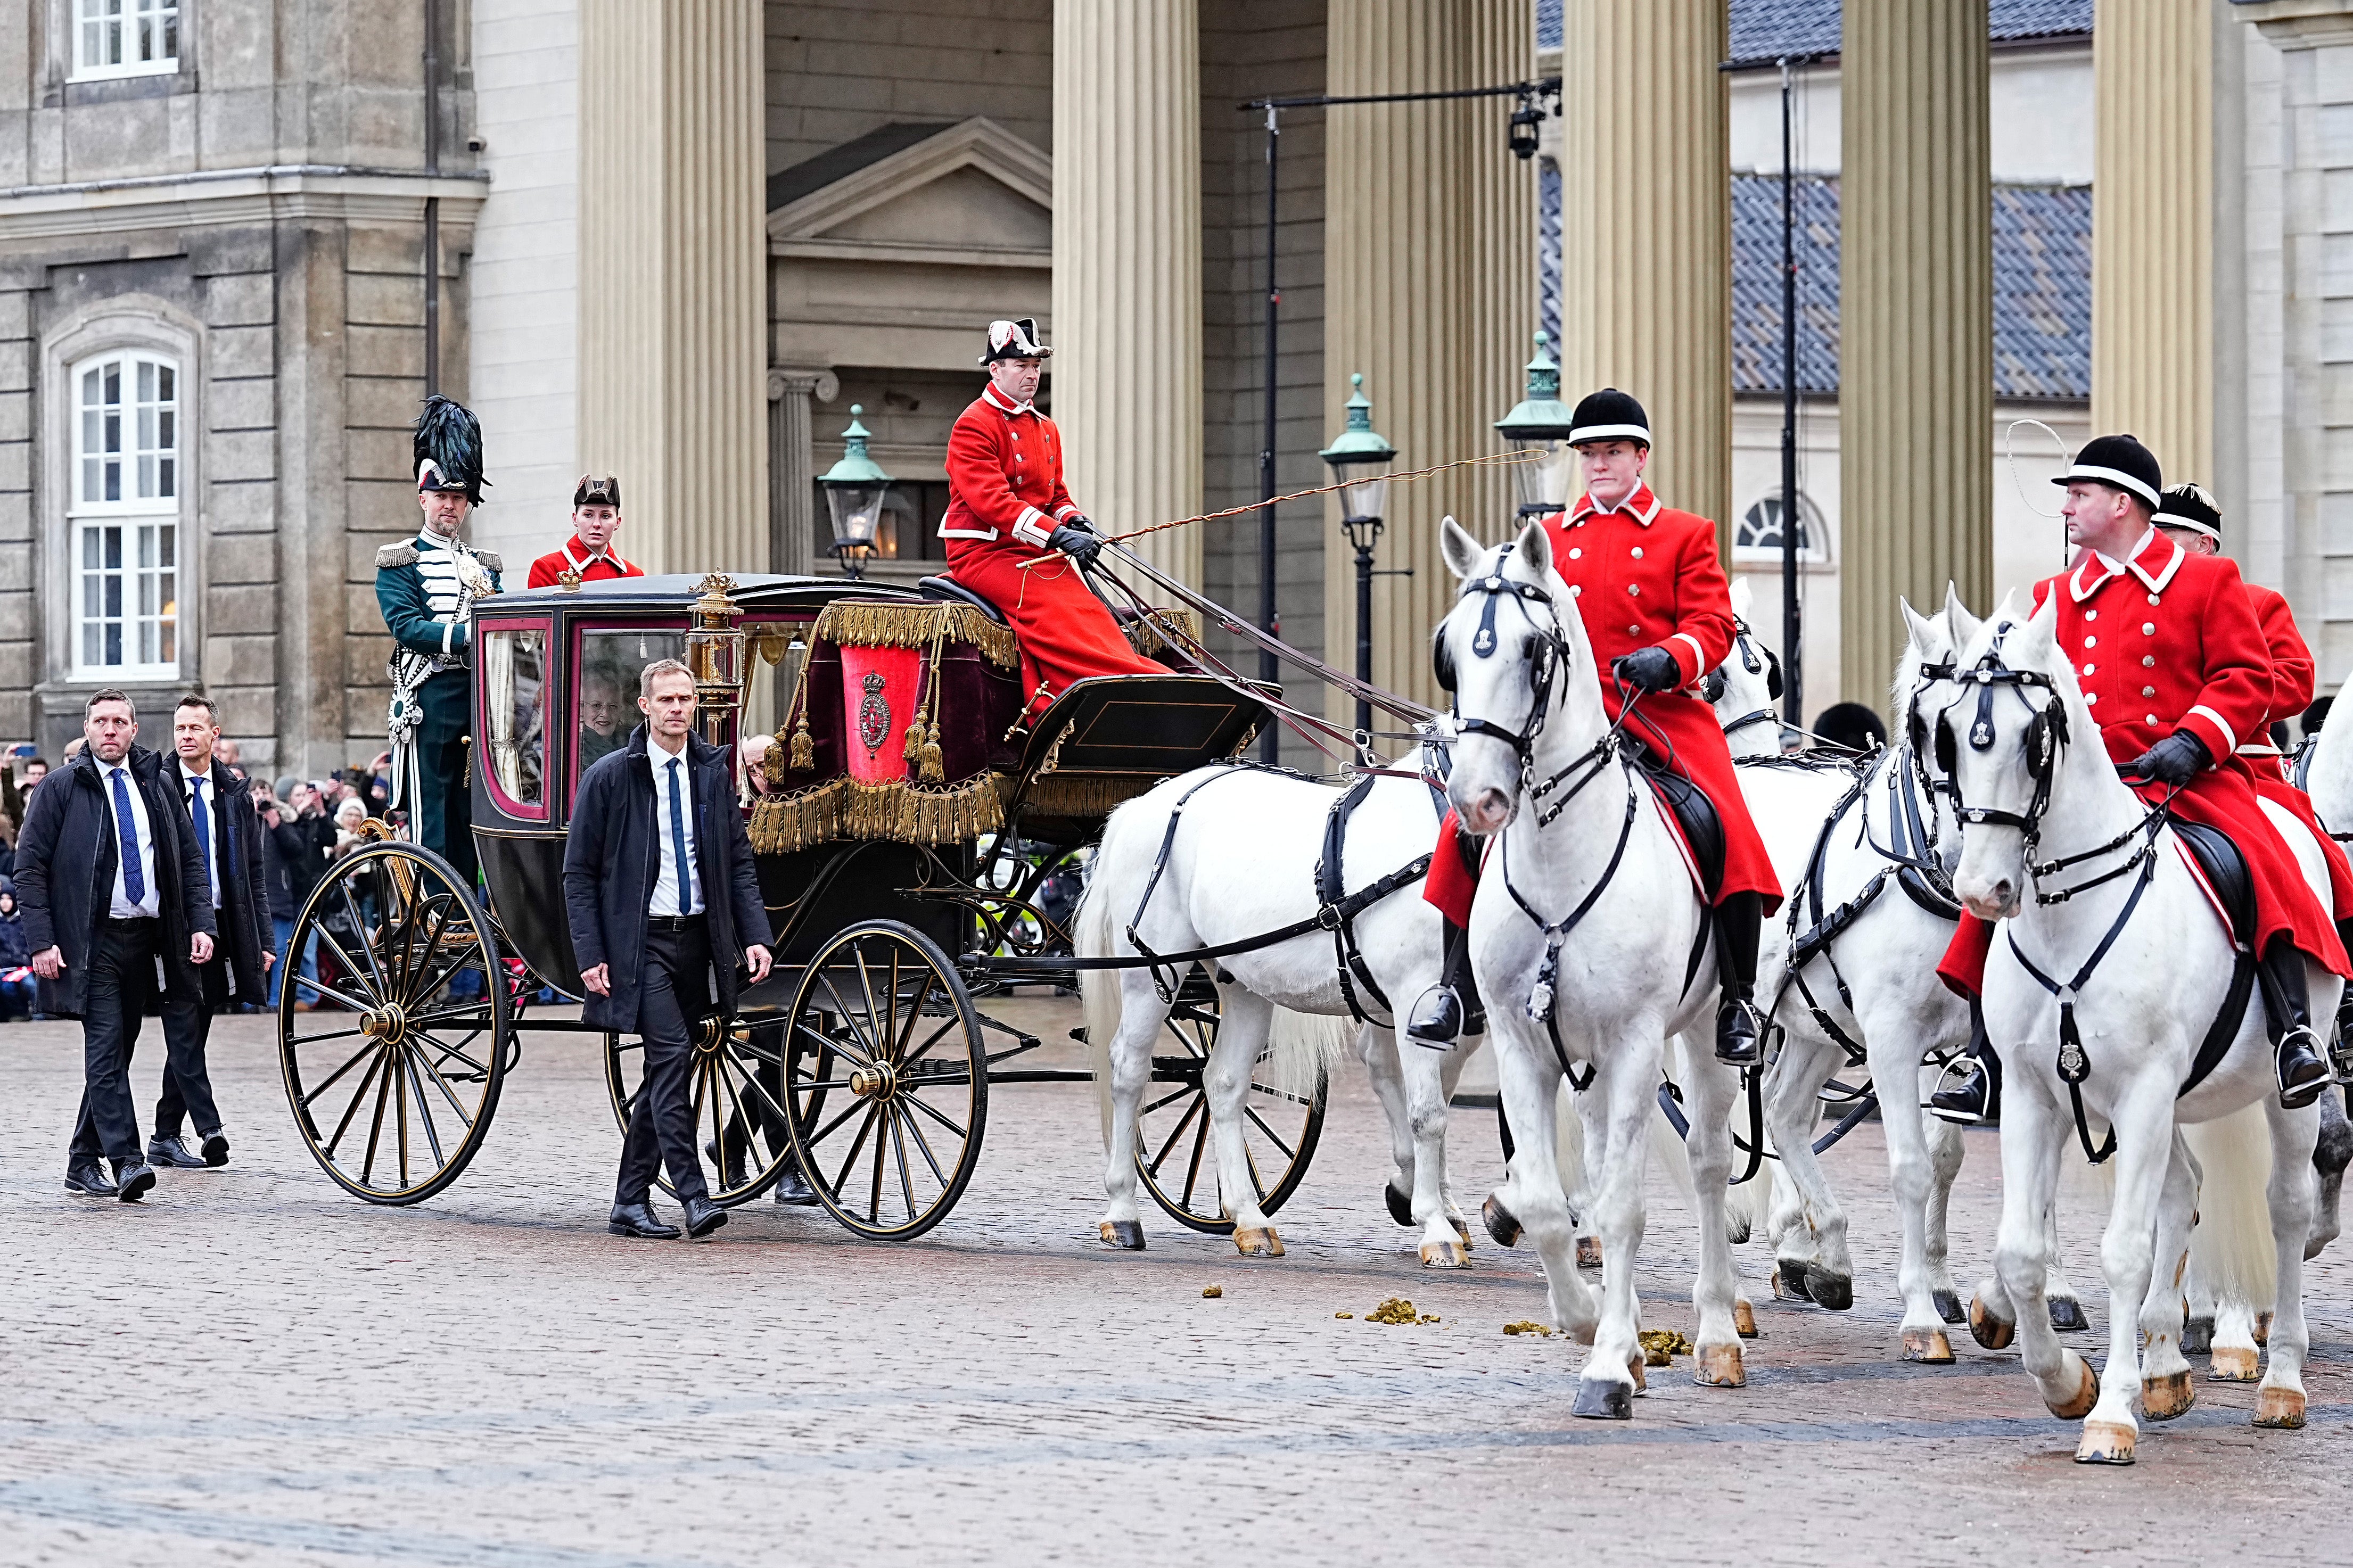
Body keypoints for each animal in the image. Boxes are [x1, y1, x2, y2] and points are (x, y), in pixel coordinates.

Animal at [1077, 742, 1477, 1269]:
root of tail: (1140, 804)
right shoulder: (1415, 994)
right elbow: (1427, 1114)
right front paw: (1435, 1225)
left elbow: (1435, 1106)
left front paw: (1431, 1202)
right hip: (1151, 974)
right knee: (1129, 1071)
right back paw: (1123, 1211)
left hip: (1240, 982)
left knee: (1222, 1083)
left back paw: (1250, 1218)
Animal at [1430, 512, 1750, 1410]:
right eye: (1450, 651)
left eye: (1532, 651)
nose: (1478, 801)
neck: (1560, 856)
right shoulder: (1521, 1041)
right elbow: (1549, 1200)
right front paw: (1587, 1324)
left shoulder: (1638, 1039)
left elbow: (1625, 1205)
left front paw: (1607, 1363)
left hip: (1703, 1034)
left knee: (1708, 1164)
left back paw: (1716, 1333)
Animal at [1929, 595, 2334, 1467]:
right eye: (1946, 737)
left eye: (2033, 739)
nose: (1983, 889)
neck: (2070, 914)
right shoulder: (2036, 1094)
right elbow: (2022, 1251)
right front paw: (2066, 1382)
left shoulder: (2144, 1091)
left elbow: (2123, 1249)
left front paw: (2108, 1413)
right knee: (2183, 1191)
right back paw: (2163, 1363)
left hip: (2284, 1093)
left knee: (2285, 1206)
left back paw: (2281, 1379)